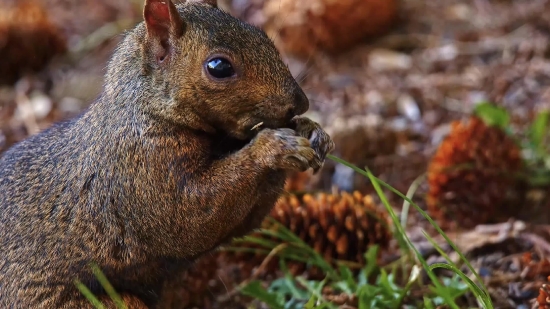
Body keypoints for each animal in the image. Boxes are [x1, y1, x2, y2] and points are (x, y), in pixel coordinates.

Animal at [0, 0, 336, 306]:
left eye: (264, 36)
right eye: (219, 67)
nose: (300, 103)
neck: (146, 110)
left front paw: (312, 130)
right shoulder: (141, 172)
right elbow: (192, 217)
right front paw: (274, 147)